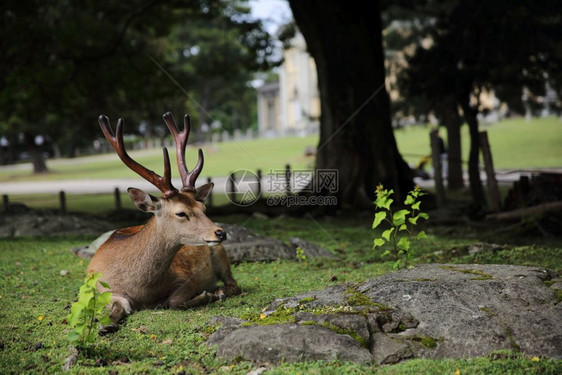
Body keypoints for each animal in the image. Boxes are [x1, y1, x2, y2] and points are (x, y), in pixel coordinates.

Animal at [86, 111, 240, 332]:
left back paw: (219, 292)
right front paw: (107, 325)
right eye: (181, 213)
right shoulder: (102, 289)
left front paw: (207, 295)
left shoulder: (187, 279)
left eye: (203, 208)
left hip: (220, 253)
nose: (220, 232)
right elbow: (119, 305)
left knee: (234, 283)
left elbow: (174, 301)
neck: (142, 290)